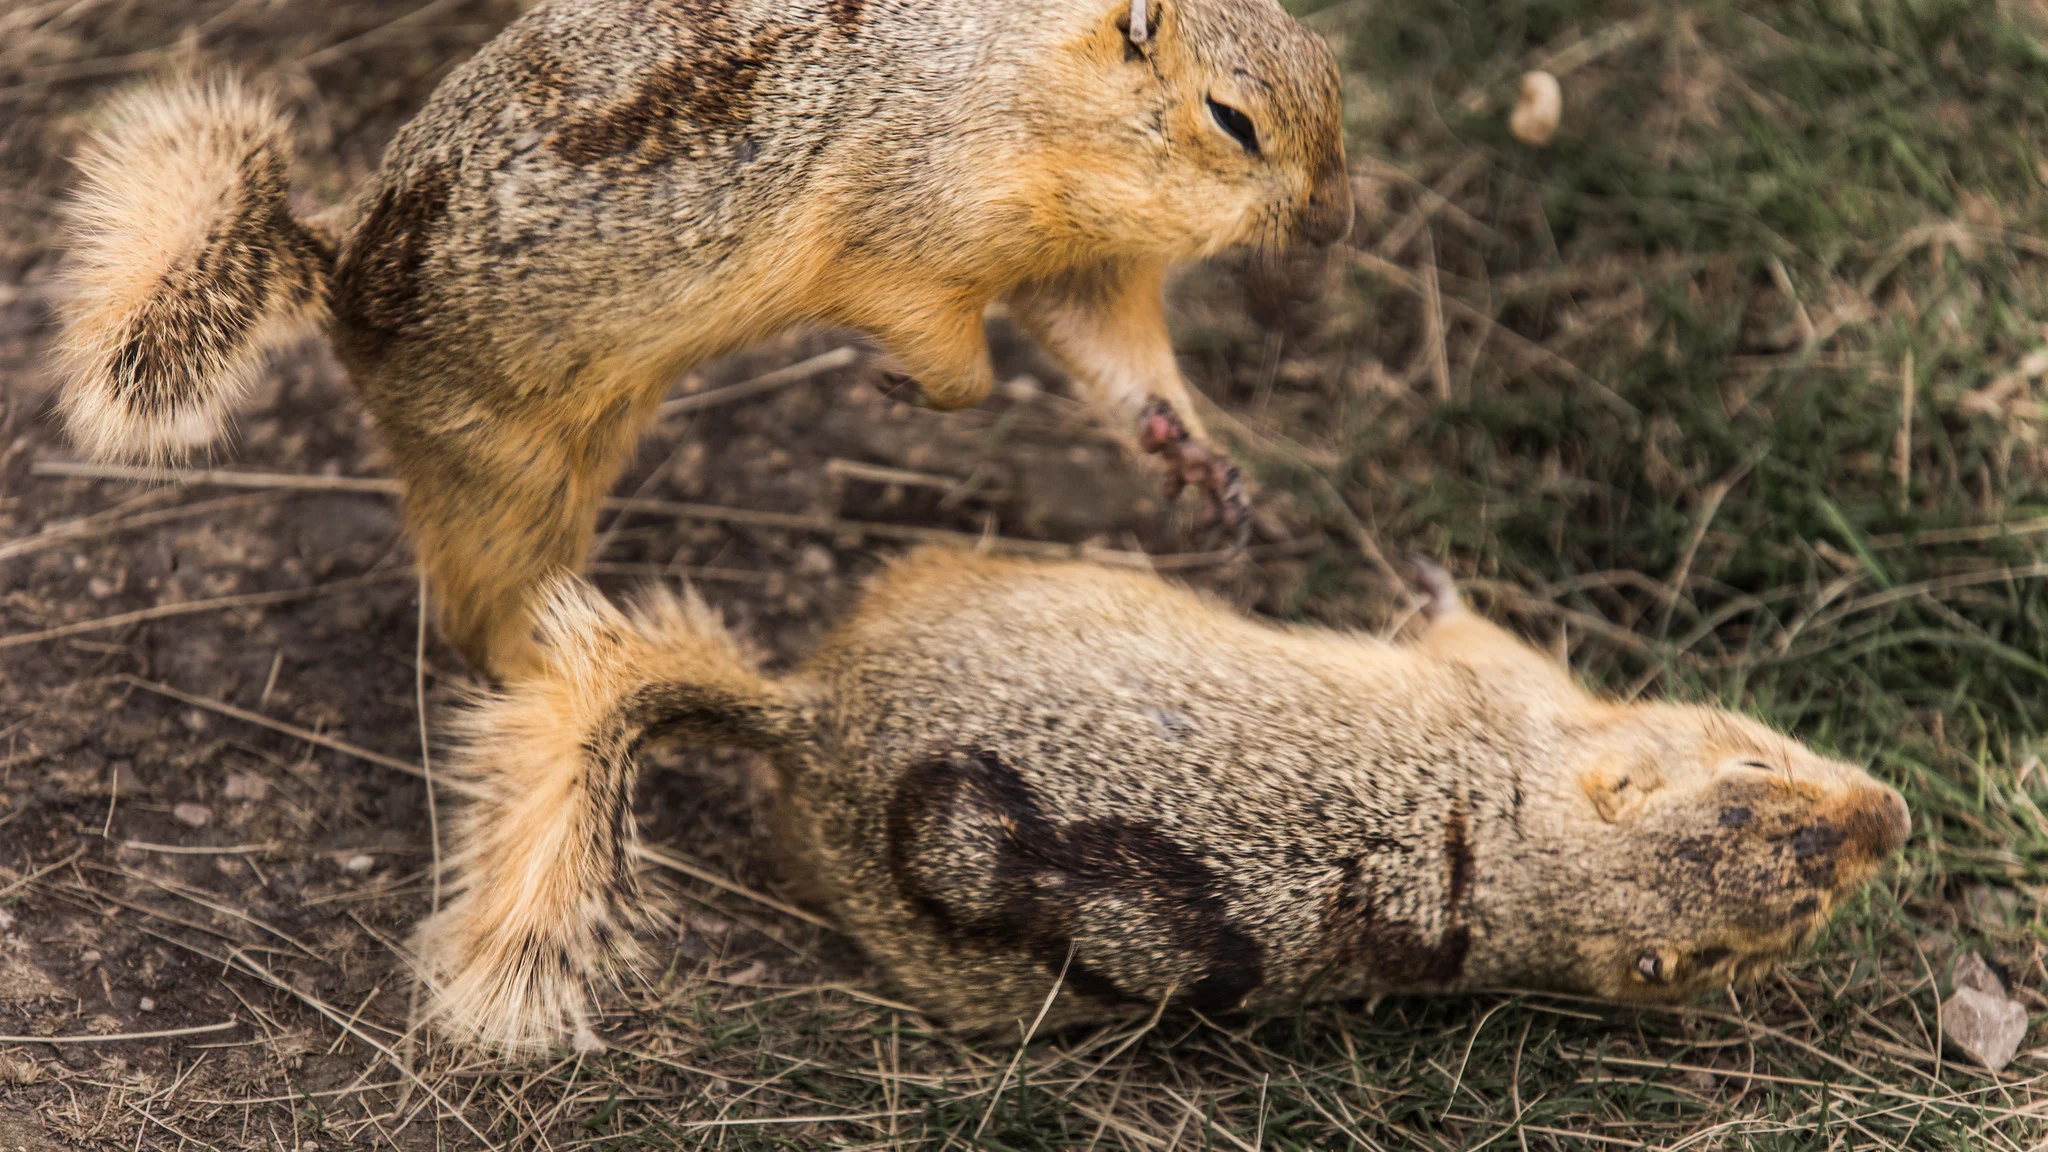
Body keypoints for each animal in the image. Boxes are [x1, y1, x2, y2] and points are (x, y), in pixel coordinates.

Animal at [48, 0, 1351, 672]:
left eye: (1337, 79)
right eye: (1232, 119)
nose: (1331, 217)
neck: (1024, 87)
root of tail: (344, 273)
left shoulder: (1082, 270)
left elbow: (1122, 368)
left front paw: (1199, 462)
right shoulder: (913, 231)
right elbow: (947, 353)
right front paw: (912, 391)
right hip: (499, 464)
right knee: (476, 602)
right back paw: (563, 657)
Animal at [411, 545, 1900, 1049]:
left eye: (1789, 920)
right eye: (1750, 774)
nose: (1892, 818)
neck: (1515, 863)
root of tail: (803, 720)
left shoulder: (1505, 695)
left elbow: (1472, 633)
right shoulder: (1516, 708)